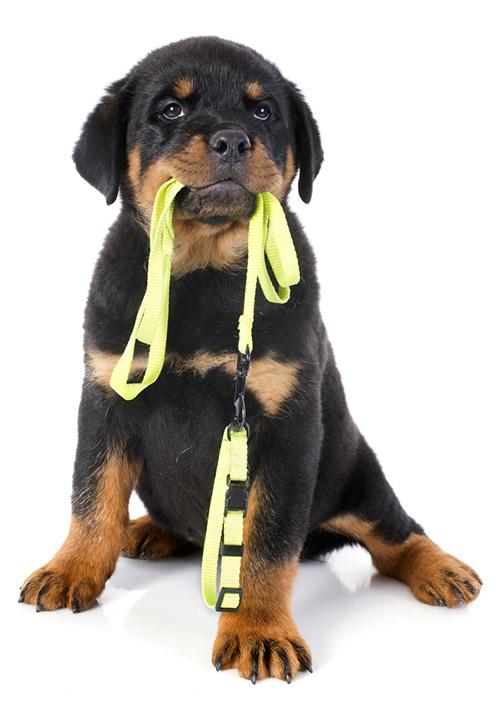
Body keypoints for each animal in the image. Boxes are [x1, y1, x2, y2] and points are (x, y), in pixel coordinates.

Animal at [19, 34, 480, 680]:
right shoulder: (107, 395)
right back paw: (150, 530)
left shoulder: (284, 427)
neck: (204, 270)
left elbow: (266, 542)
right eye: (170, 110)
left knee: (394, 532)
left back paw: (440, 568)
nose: (234, 139)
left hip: (355, 470)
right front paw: (72, 569)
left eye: (263, 112)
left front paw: (259, 630)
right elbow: (92, 496)